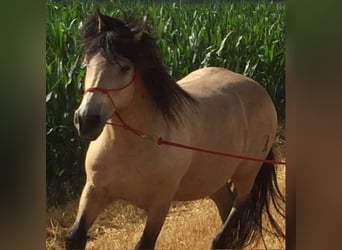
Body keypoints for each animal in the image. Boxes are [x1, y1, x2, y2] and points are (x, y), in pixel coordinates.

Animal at [65, 9, 284, 250]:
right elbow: (74, 237)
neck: (134, 144)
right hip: (213, 180)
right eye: (87, 63)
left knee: (234, 215)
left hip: (246, 175)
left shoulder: (160, 205)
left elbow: (144, 244)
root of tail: (259, 89)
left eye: (125, 68)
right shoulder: (94, 192)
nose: (86, 120)